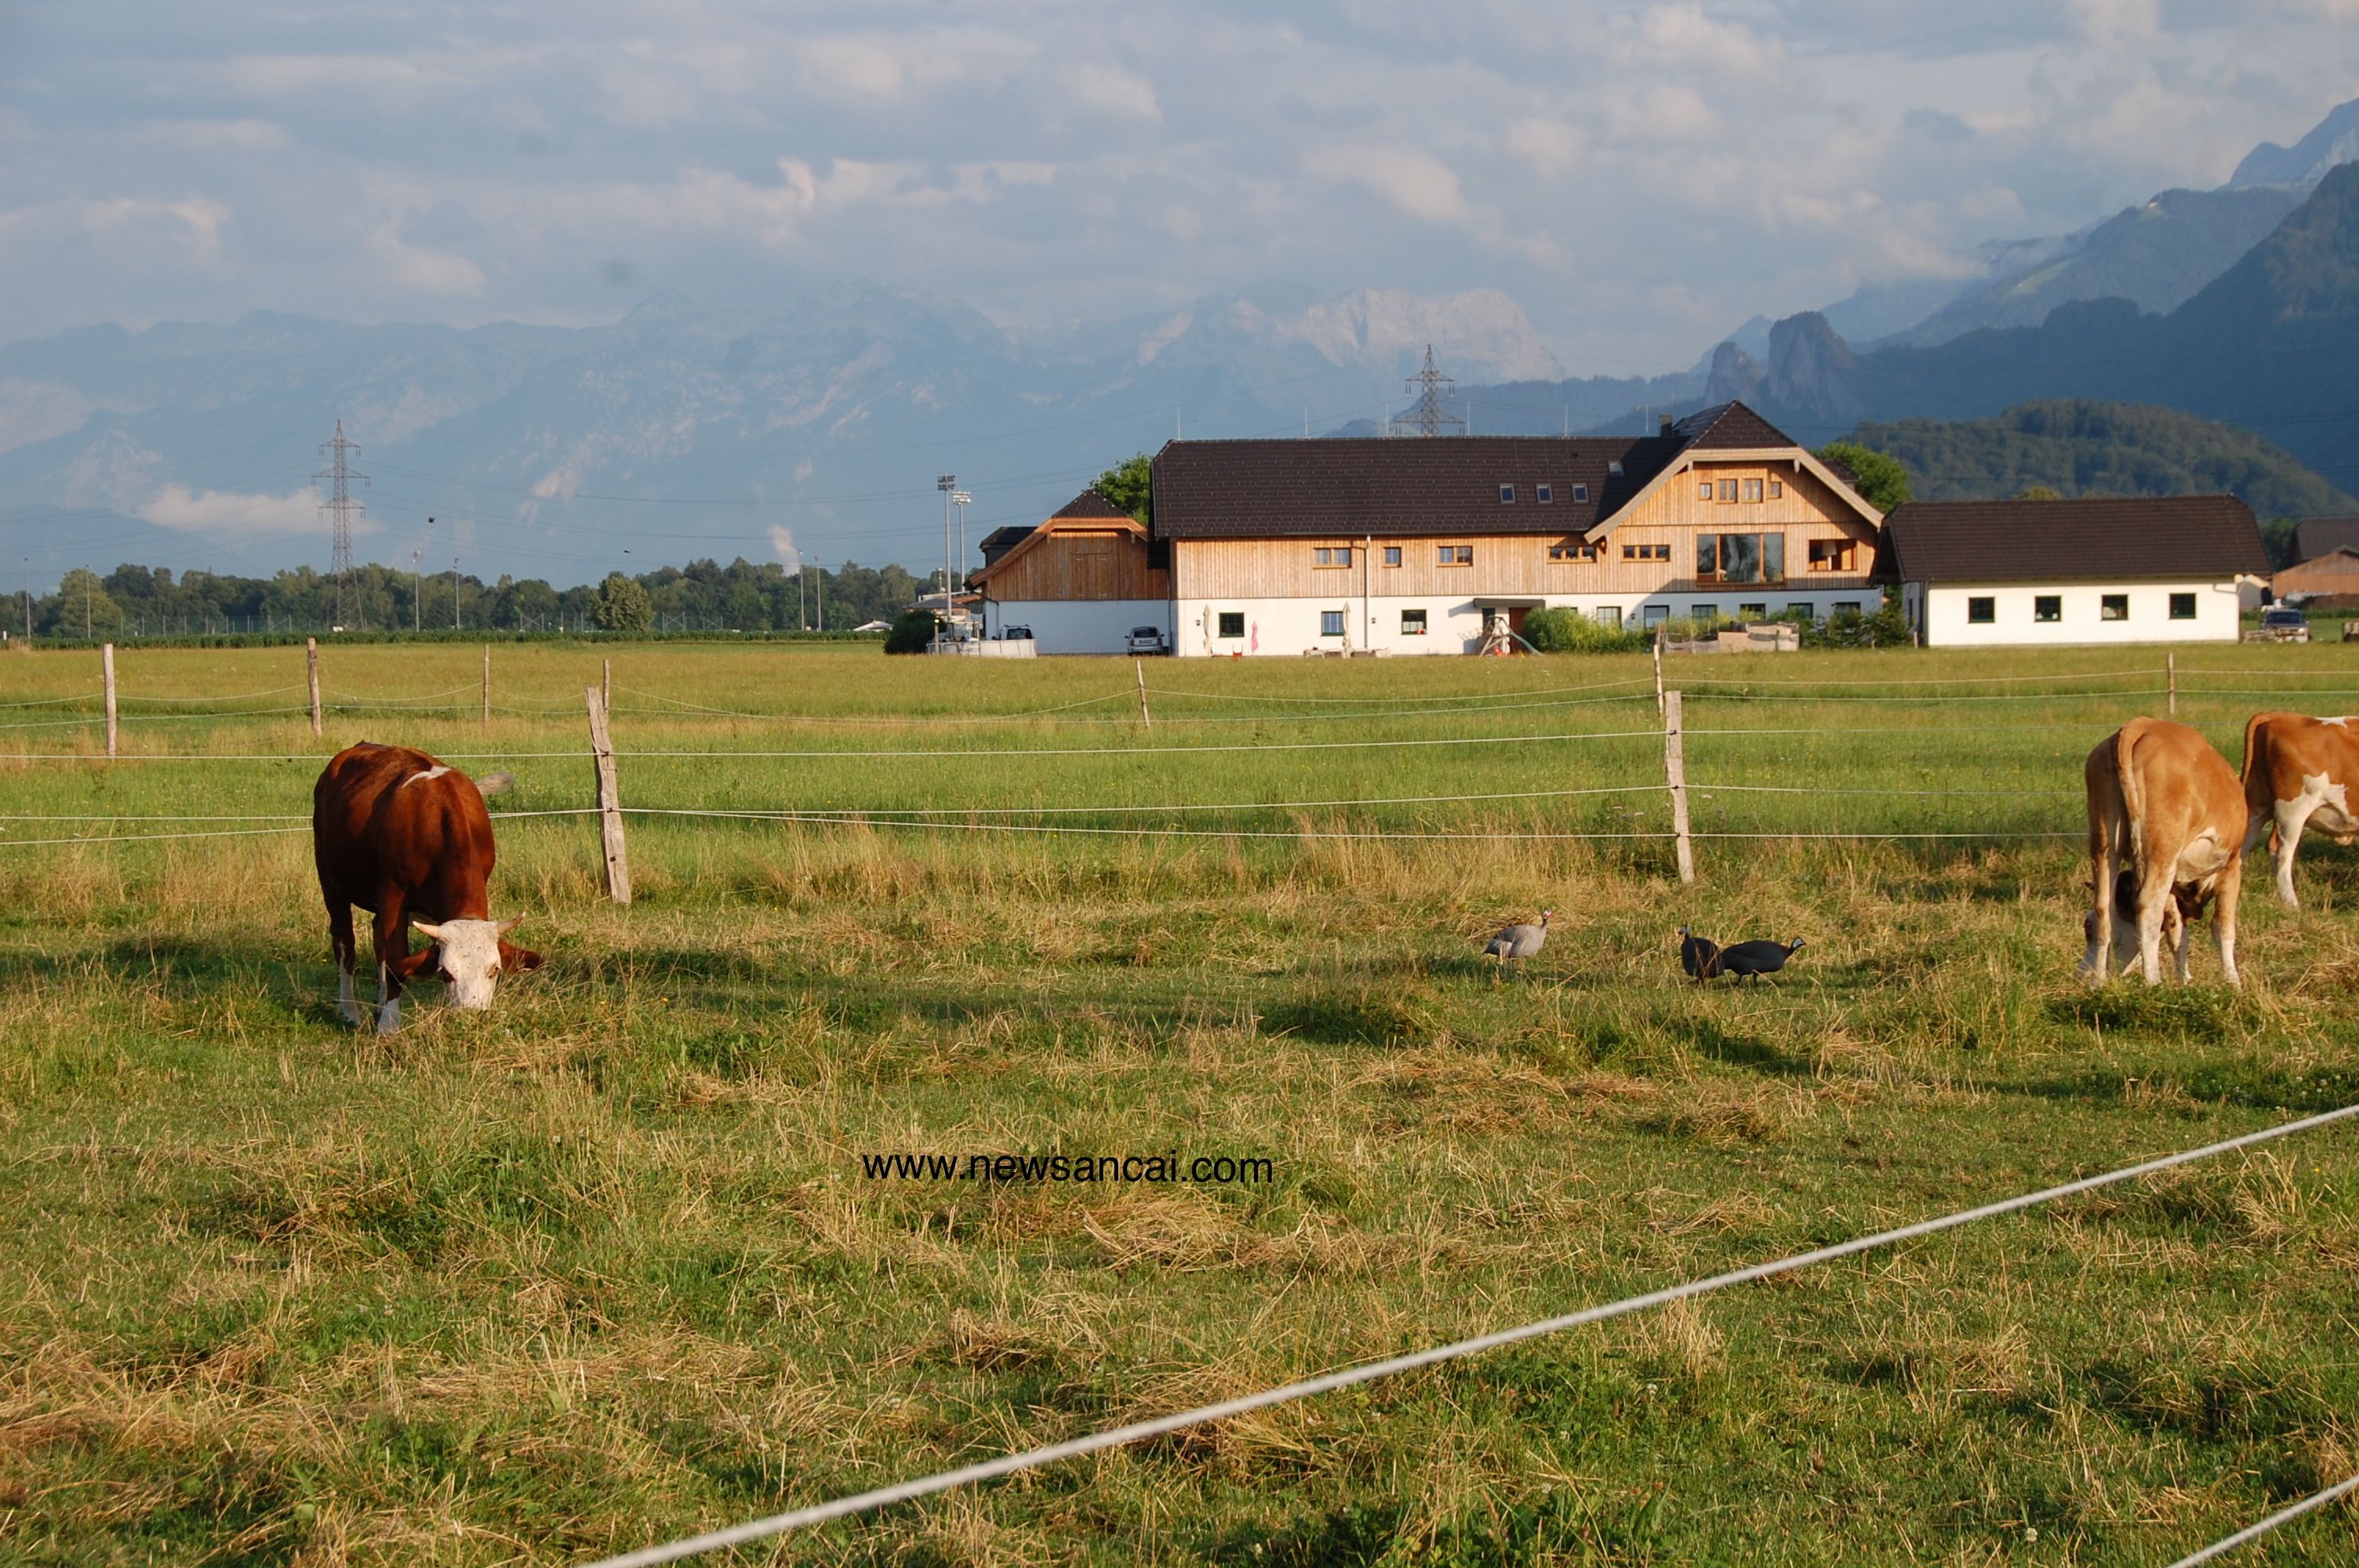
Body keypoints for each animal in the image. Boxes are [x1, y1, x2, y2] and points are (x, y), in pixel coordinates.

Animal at [307, 745, 537, 1033]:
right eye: (446, 973)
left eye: (494, 969)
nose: (472, 1016)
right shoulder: (394, 895)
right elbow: (396, 960)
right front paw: (389, 1025)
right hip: (330, 879)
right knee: (345, 943)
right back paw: (350, 1011)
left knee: (376, 937)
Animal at [2085, 717, 2245, 985]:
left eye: (2085, 929)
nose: (2081, 975)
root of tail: (2139, 726)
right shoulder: (2231, 867)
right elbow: (2223, 928)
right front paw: (2233, 983)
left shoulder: (2173, 885)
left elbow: (2177, 932)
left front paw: (2185, 980)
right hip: (2162, 851)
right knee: (2148, 908)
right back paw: (2153, 981)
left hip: (2106, 845)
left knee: (2104, 911)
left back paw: (2099, 982)